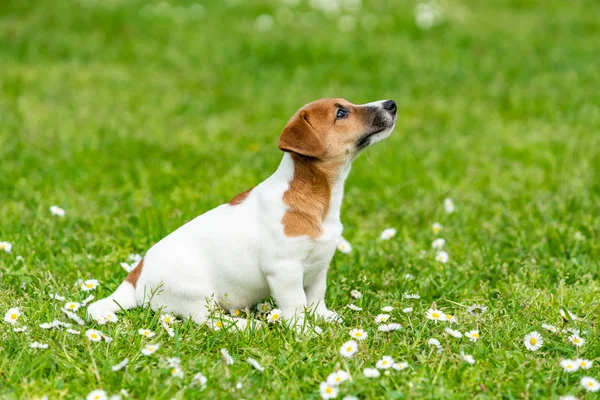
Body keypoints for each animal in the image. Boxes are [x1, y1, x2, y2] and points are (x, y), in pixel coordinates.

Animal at [86, 98, 396, 326]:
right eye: (341, 113)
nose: (391, 103)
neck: (315, 200)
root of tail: (135, 278)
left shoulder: (319, 267)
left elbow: (316, 298)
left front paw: (324, 319)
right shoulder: (284, 271)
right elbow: (296, 306)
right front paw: (306, 332)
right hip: (198, 297)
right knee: (213, 322)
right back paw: (252, 326)